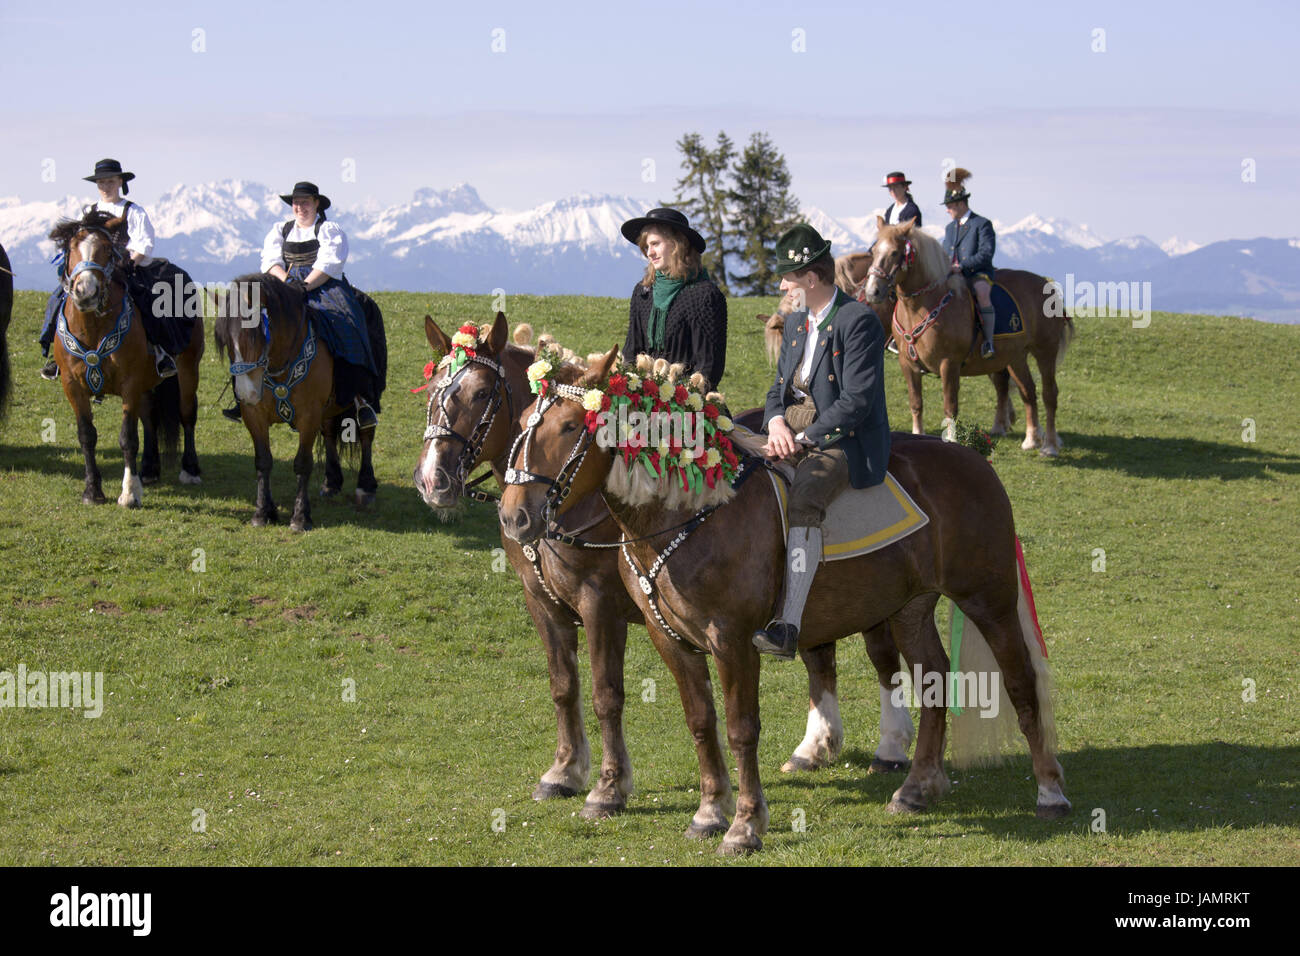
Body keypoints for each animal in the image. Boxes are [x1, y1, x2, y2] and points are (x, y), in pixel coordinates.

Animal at [48, 213, 202, 504]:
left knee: (187, 413)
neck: (93, 328)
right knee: (149, 416)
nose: (86, 291)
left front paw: (129, 493)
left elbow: (128, 437)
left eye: (107, 249)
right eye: (71, 247)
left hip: (188, 370)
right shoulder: (72, 387)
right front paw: (92, 491)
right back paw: (150, 469)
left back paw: (190, 469)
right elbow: (87, 436)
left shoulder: (129, 384)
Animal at [213, 273, 379, 535]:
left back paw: (366, 486)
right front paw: (263, 512)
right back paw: (331, 482)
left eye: (255, 336)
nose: (246, 393)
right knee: (329, 432)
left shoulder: (308, 416)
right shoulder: (254, 415)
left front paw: (300, 518)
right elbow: (263, 461)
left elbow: (302, 464)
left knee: (366, 433)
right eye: (226, 341)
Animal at [410, 316, 920, 822]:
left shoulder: (600, 606)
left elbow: (606, 694)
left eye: (480, 394)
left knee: (881, 655)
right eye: (433, 389)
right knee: (820, 651)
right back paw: (815, 747)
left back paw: (891, 747)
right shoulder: (542, 604)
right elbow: (563, 686)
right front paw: (564, 771)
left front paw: (608, 788)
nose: (432, 479)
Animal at [496, 351, 1066, 858]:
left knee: (1020, 682)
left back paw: (1049, 791)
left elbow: (738, 729)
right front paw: (709, 812)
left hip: (988, 598)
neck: (692, 512)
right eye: (522, 422)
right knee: (933, 679)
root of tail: (973, 456)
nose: (513, 517)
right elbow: (700, 722)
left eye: (571, 426)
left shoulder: (727, 640)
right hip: (910, 607)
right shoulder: (669, 638)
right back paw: (918, 787)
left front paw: (744, 826)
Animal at [857, 222, 1071, 455]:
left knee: (1049, 395)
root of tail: (1046, 284)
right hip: (1016, 357)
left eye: (895, 253)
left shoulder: (949, 364)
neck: (922, 307)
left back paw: (1049, 445)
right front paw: (917, 435)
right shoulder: (908, 364)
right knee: (1028, 391)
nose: (873, 291)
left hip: (1045, 351)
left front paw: (952, 440)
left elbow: (950, 405)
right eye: (874, 252)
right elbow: (916, 403)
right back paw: (1031, 439)